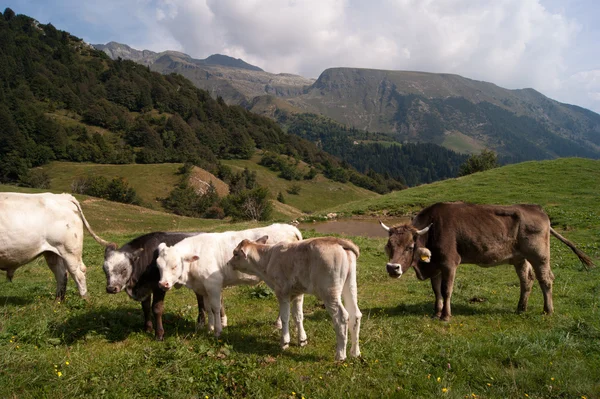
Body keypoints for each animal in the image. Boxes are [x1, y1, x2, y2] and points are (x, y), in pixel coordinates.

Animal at [157, 223, 302, 336]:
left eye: (175, 265)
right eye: (158, 266)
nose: (163, 284)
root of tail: (289, 227)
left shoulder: (213, 285)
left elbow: (215, 308)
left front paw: (218, 330)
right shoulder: (203, 288)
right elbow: (208, 308)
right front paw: (209, 328)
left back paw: (279, 323)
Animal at [382, 203, 592, 322]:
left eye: (410, 246)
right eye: (389, 245)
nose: (392, 268)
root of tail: (538, 209)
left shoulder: (450, 263)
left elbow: (446, 290)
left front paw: (445, 316)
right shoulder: (436, 266)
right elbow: (436, 291)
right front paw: (436, 313)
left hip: (539, 255)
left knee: (546, 279)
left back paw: (548, 311)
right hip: (519, 258)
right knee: (527, 280)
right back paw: (520, 308)